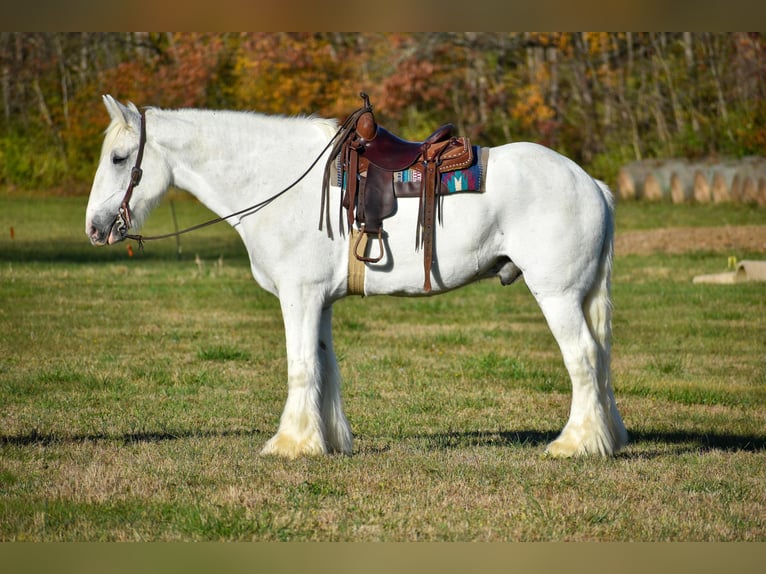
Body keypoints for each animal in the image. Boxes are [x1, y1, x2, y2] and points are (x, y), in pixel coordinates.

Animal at [87, 97, 628, 462]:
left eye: (119, 158)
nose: (94, 227)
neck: (278, 179)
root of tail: (593, 184)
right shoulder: (319, 301)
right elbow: (324, 368)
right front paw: (326, 440)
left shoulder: (299, 296)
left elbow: (301, 366)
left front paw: (291, 443)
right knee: (600, 360)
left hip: (557, 295)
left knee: (582, 357)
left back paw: (576, 443)